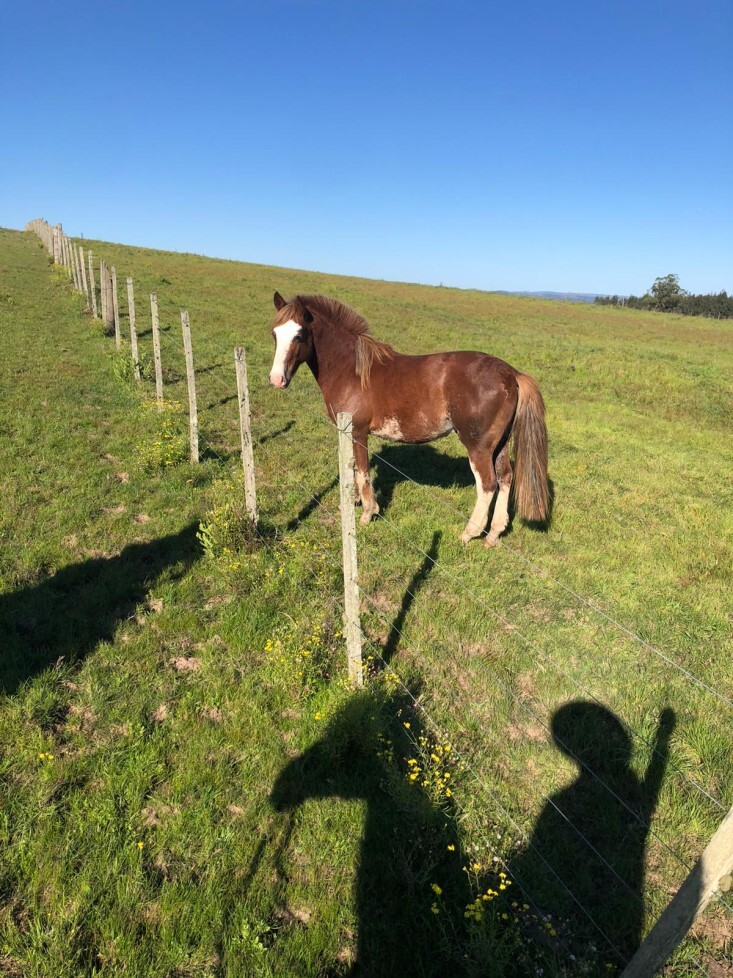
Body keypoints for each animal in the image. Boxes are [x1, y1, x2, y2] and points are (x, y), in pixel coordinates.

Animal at [266, 290, 548, 548]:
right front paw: (352, 503)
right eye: (275, 334)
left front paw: (368, 513)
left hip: (478, 446)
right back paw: (493, 534)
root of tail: (511, 374)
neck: (352, 370)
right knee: (505, 478)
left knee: (488, 484)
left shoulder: (358, 432)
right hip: (499, 445)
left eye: (299, 335)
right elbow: (353, 468)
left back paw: (469, 533)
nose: (276, 379)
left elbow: (363, 472)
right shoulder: (347, 433)